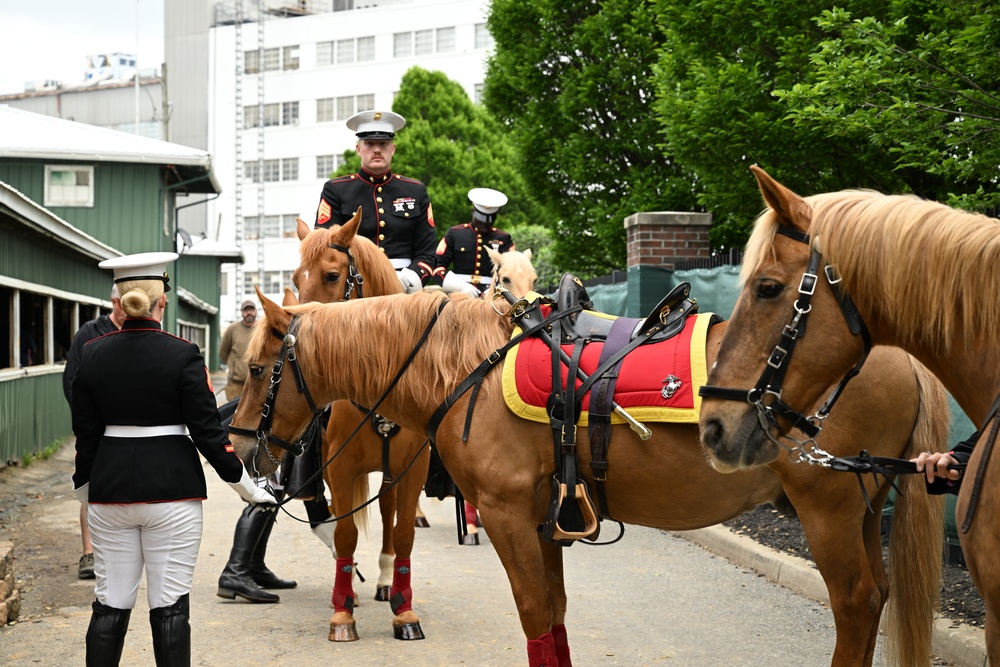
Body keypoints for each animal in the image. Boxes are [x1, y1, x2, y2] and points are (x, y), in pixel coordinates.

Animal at [230, 288, 948, 667]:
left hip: (827, 508)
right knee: (878, 596)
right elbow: (555, 616)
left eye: (263, 367)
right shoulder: (544, 521)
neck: (468, 366)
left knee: (856, 603)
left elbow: (534, 615)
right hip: (862, 507)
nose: (238, 444)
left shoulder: (508, 515)